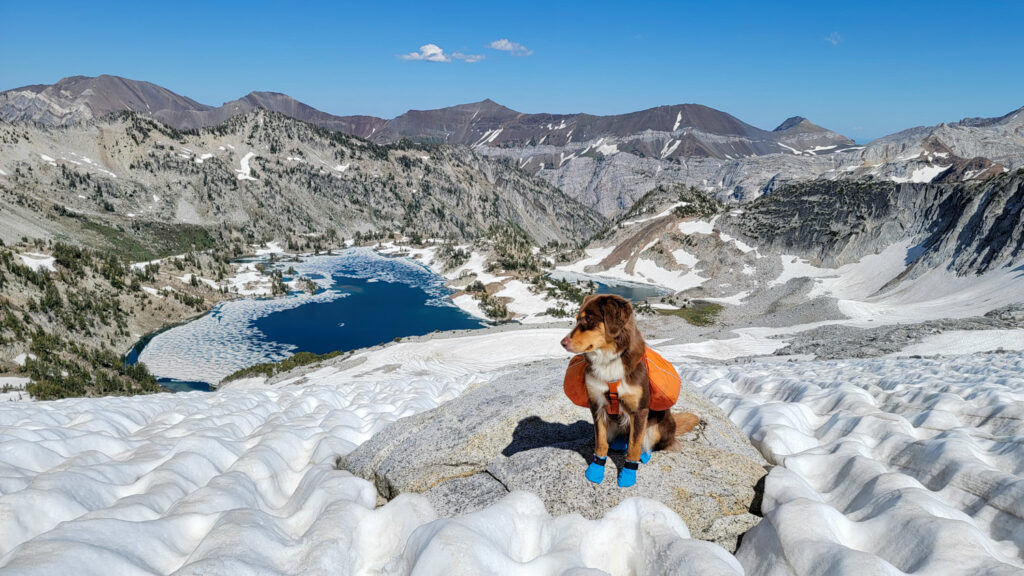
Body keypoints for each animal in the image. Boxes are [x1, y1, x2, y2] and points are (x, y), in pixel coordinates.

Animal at [557, 291, 700, 483]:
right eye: (577, 319)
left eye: (588, 320)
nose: (562, 342)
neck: (608, 360)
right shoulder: (597, 405)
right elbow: (601, 442)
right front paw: (596, 468)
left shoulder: (639, 410)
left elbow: (634, 446)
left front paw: (627, 475)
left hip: (659, 424)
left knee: (649, 442)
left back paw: (644, 453)